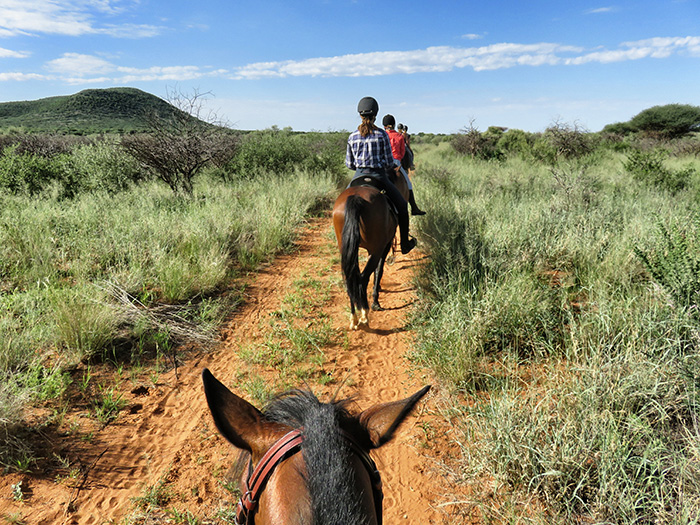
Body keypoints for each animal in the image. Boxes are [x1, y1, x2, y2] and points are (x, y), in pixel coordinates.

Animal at [334, 170, 410, 330]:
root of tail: (356, 198)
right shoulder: (383, 246)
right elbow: (378, 271)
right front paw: (376, 299)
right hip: (376, 249)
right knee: (362, 278)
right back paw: (365, 313)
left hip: (347, 248)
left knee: (351, 279)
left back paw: (354, 318)